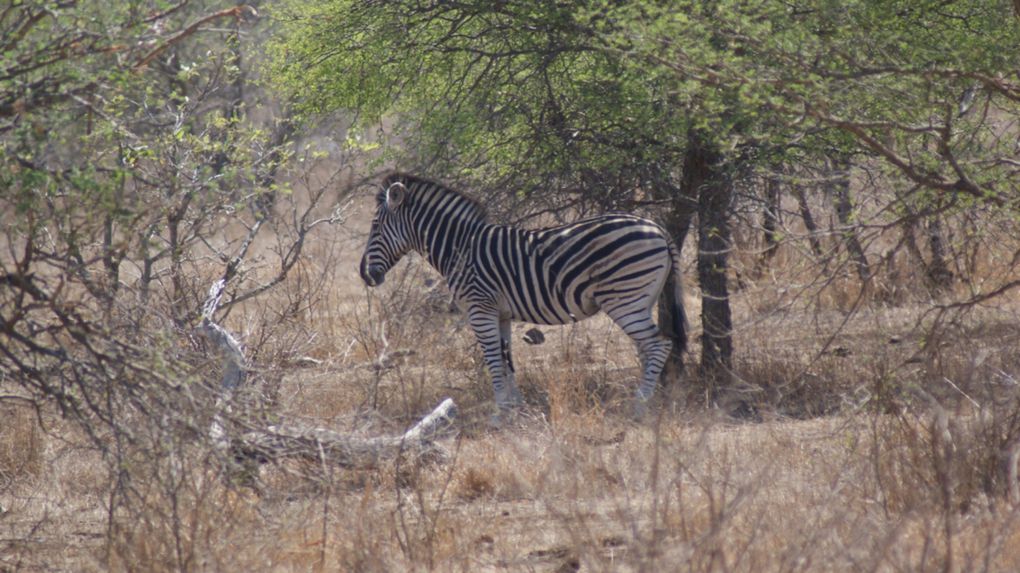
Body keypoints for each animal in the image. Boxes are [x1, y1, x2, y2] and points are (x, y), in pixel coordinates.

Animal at [359, 171, 685, 418]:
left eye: (375, 226)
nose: (365, 274)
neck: (460, 248)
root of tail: (657, 228)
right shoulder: (500, 313)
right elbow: (507, 359)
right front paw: (515, 408)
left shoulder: (480, 308)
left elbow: (492, 359)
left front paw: (499, 413)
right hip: (641, 300)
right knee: (650, 347)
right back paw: (650, 400)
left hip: (624, 299)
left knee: (659, 345)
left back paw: (639, 406)